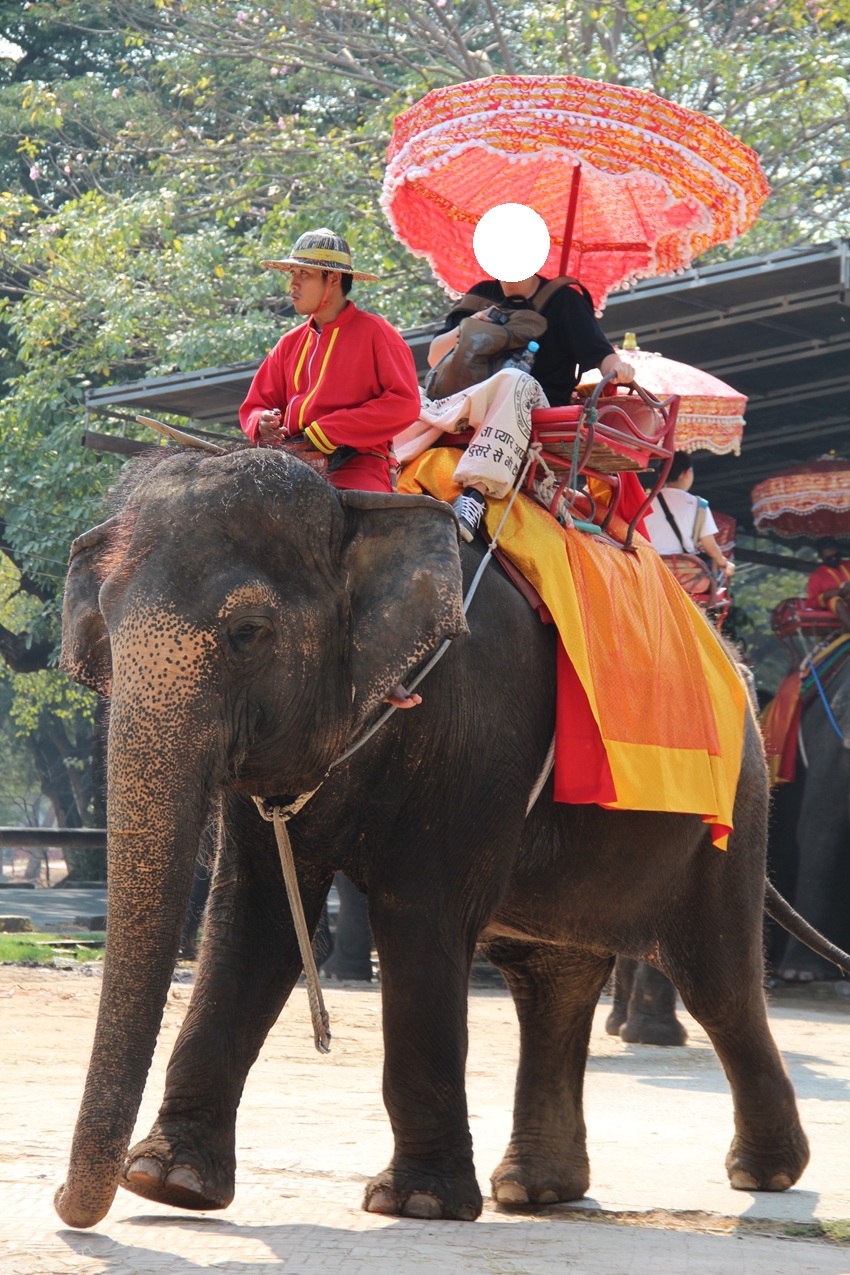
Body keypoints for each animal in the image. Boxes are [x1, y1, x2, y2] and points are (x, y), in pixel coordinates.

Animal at [51, 443, 810, 1229]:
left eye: (249, 632)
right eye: (107, 630)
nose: (61, 1203)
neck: (362, 510)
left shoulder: (480, 727)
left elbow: (419, 916)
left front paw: (416, 1202)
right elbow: (254, 919)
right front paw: (167, 1182)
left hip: (735, 813)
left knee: (718, 983)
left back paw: (764, 1171)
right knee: (552, 976)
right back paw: (536, 1189)